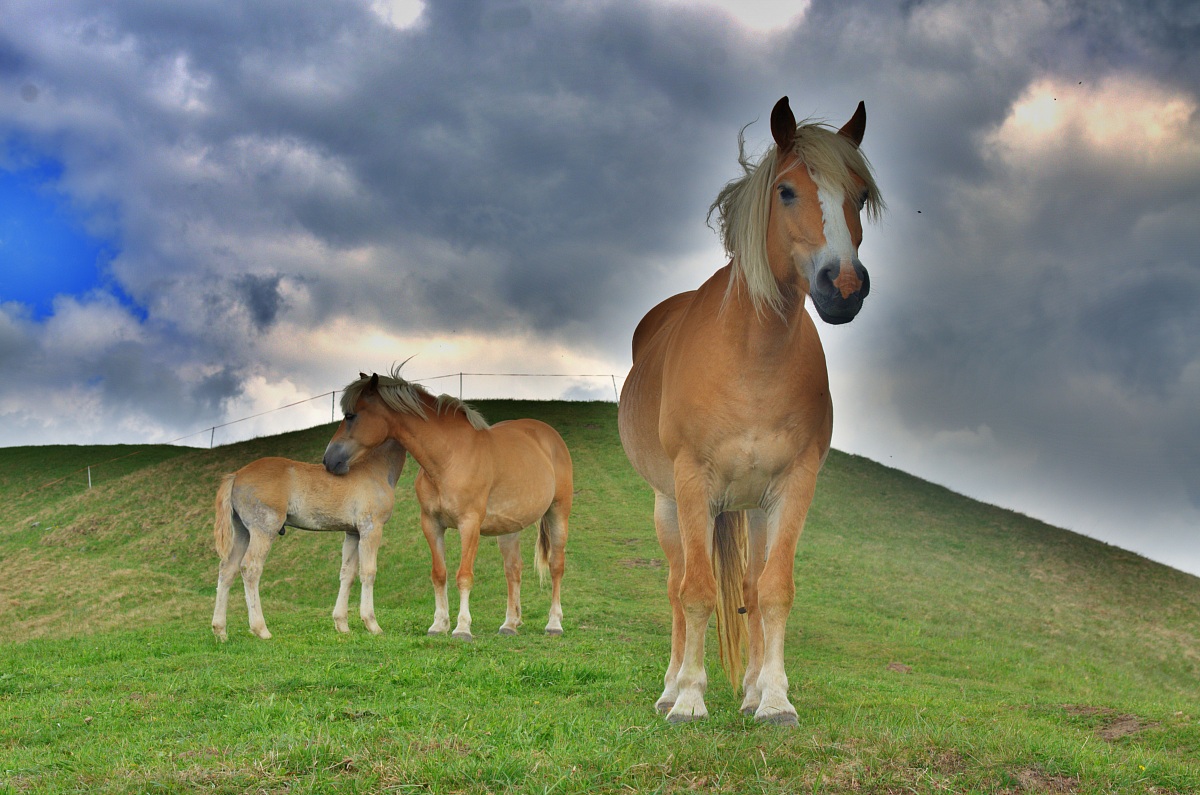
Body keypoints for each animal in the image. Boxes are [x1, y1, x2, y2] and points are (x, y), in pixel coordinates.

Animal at [210, 437, 407, 641]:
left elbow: (347, 573)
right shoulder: (371, 528)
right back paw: (261, 629)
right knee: (250, 568)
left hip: (243, 533)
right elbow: (368, 572)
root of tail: (236, 475)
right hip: (263, 530)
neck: (374, 469)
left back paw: (220, 630)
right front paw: (372, 624)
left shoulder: (353, 533)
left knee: (227, 570)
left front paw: (342, 625)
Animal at [322, 367, 573, 640]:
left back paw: (554, 623)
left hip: (558, 513)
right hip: (509, 528)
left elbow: (464, 576)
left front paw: (462, 627)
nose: (328, 459)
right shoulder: (432, 524)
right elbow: (439, 574)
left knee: (556, 567)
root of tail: (551, 437)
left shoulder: (469, 525)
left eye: (350, 415)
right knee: (513, 570)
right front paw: (439, 624)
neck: (449, 457)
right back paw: (509, 624)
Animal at [618, 96, 885, 725]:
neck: (752, 358)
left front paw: (775, 699)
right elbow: (695, 592)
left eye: (859, 194)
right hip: (670, 504)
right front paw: (690, 699)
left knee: (748, 588)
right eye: (786, 191)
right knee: (676, 585)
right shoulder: (693, 482)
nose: (844, 286)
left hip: (756, 510)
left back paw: (752, 689)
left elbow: (773, 590)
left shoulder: (794, 485)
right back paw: (671, 687)